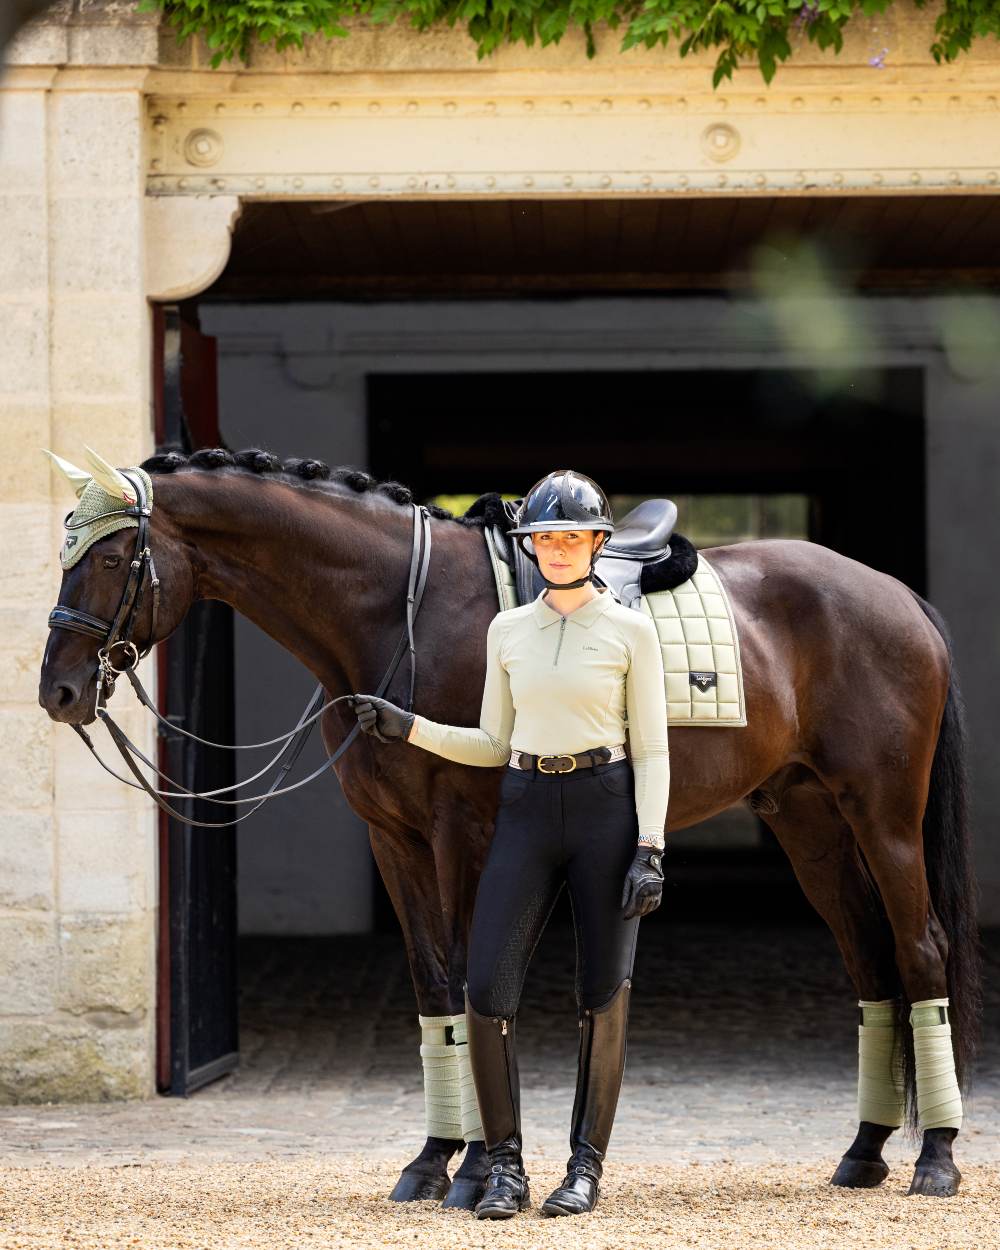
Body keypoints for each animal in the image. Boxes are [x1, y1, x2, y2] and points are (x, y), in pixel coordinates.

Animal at [39, 450, 975, 1200]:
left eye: (113, 555)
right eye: (64, 551)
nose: (58, 690)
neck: (401, 615)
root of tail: (898, 596)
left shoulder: (463, 834)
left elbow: (471, 979)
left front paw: (476, 1167)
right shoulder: (395, 839)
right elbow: (434, 989)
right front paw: (431, 1161)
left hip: (884, 815)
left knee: (920, 949)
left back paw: (936, 1159)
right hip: (809, 820)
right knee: (871, 963)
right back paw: (862, 1153)